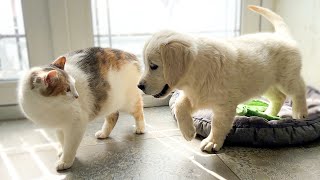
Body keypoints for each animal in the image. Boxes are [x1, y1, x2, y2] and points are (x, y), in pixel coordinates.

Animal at [18, 47, 146, 171]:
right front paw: (62, 151)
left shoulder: (76, 123)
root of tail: (130, 54)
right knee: (113, 116)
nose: (77, 96)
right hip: (110, 101)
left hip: (128, 101)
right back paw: (103, 133)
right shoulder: (59, 126)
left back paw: (140, 128)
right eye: (67, 89)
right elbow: (62, 141)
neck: (48, 106)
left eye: (73, 85)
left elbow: (70, 145)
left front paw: (65, 161)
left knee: (139, 110)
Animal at [138, 5, 308, 152]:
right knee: (279, 97)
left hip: (287, 78)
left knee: (299, 90)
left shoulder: (224, 105)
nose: (139, 86)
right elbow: (180, 105)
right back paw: (269, 113)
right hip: (265, 84)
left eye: (153, 66)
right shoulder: (196, 96)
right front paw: (188, 132)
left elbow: (218, 124)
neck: (195, 74)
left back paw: (300, 112)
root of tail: (281, 35)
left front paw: (212, 142)